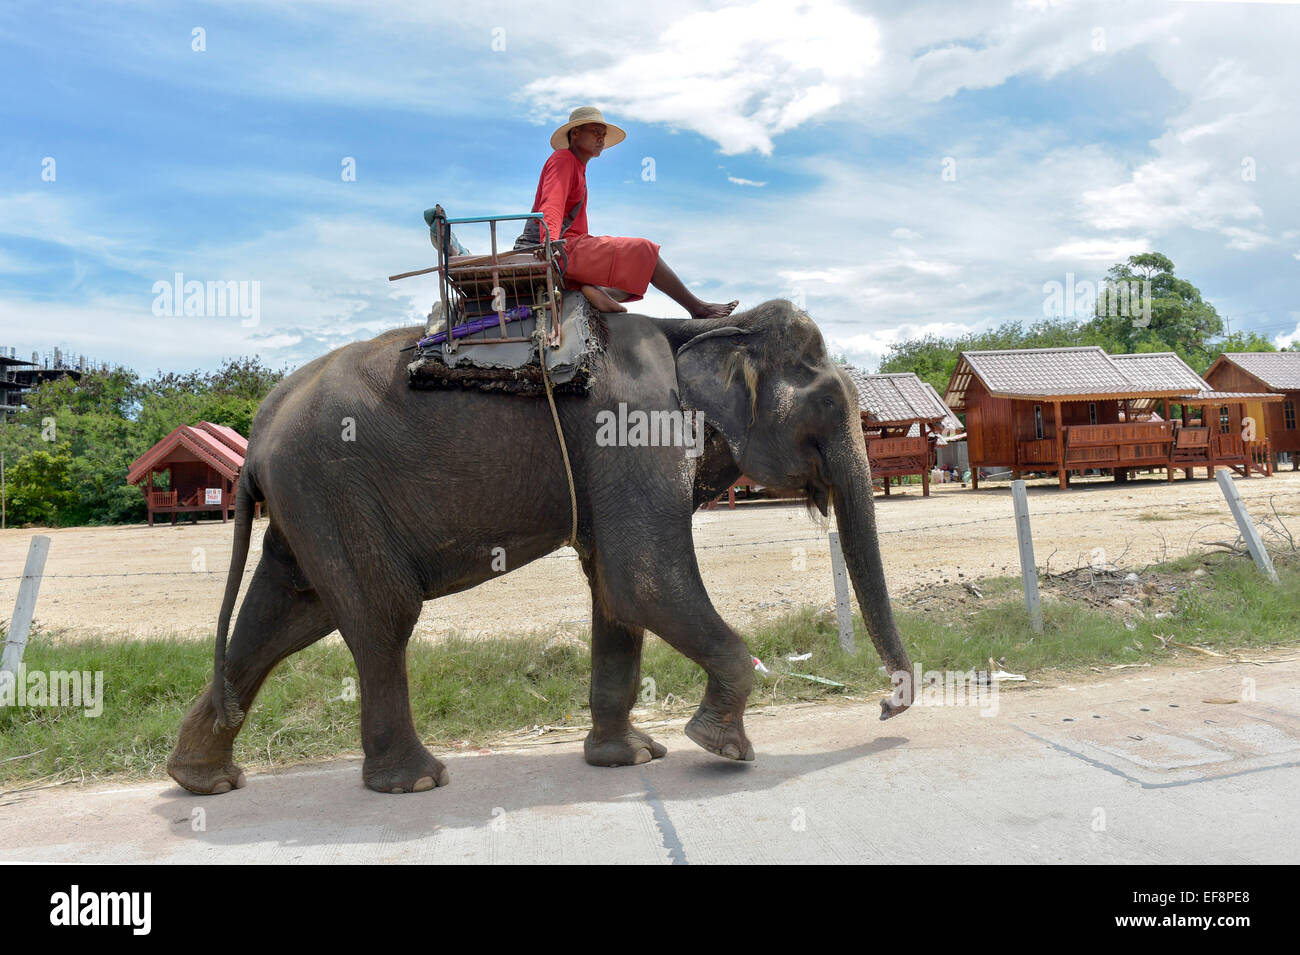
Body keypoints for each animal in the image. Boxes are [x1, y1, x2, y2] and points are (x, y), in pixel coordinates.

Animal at [167, 302, 920, 795]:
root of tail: (257, 432)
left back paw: (203, 779)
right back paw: (415, 782)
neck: (699, 330)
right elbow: (643, 577)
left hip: (310, 502)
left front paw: (631, 758)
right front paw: (722, 748)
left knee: (288, 612)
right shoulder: (632, 429)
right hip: (332, 484)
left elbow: (616, 590)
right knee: (381, 617)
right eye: (830, 408)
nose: (888, 707)